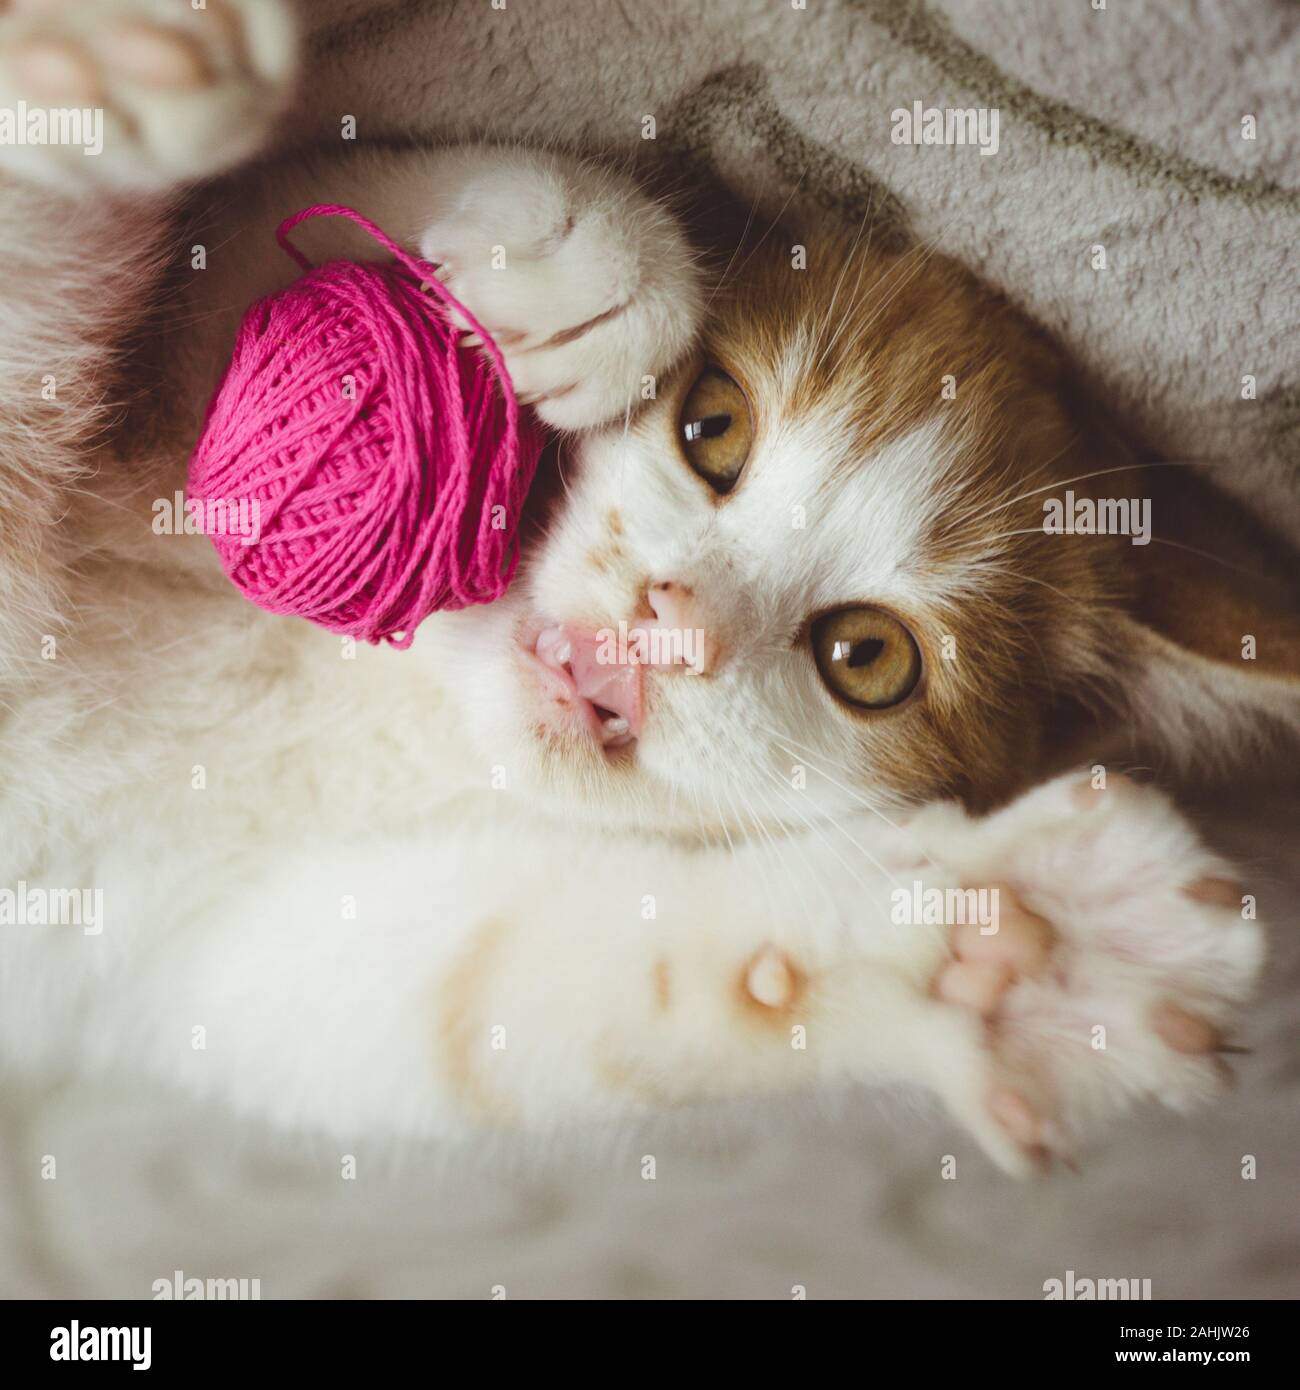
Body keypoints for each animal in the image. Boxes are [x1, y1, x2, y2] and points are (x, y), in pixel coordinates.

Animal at [0, 0, 1295, 1173]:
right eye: (711, 425)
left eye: (867, 657)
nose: (679, 621)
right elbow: (239, 236)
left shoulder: (212, 945)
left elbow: (468, 998)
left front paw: (1014, 955)